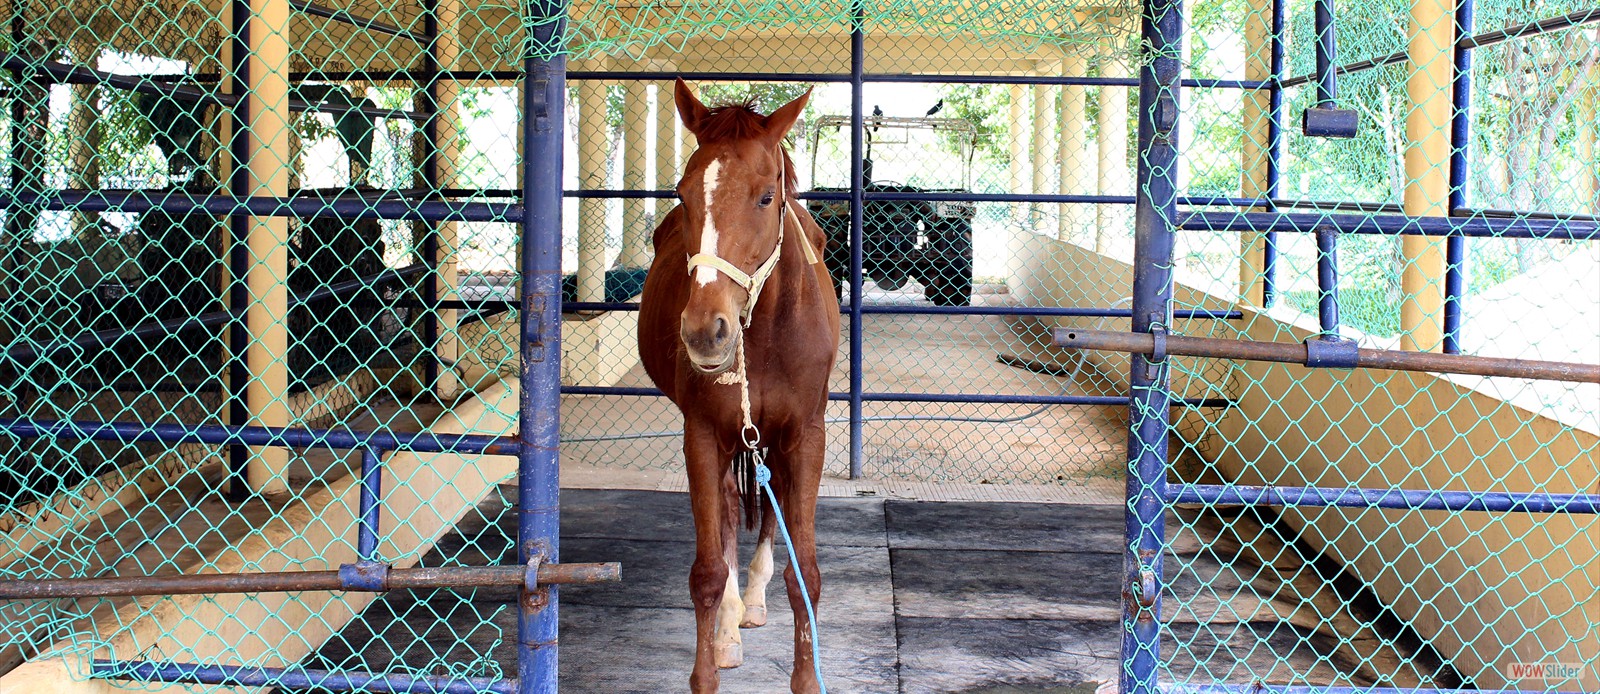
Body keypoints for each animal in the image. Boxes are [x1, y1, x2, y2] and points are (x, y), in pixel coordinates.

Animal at [633, 77, 838, 694]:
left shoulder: (805, 438)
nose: (706, 330)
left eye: (767, 197)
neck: (765, 333)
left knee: (769, 514)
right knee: (725, 513)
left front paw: (807, 678)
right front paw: (710, 662)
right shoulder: (702, 435)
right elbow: (706, 569)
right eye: (682, 195)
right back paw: (727, 628)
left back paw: (753, 601)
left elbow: (805, 572)